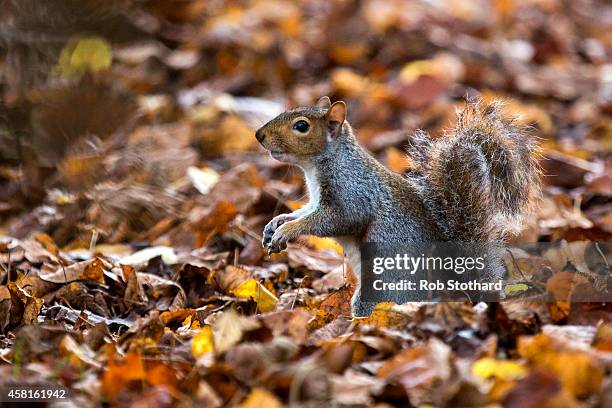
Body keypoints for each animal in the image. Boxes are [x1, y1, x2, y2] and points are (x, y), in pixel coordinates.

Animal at [256, 97, 536, 318]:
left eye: (301, 126)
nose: (259, 135)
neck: (321, 165)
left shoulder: (353, 193)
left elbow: (335, 220)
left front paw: (287, 230)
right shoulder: (315, 201)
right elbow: (304, 212)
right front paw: (277, 223)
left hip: (383, 288)